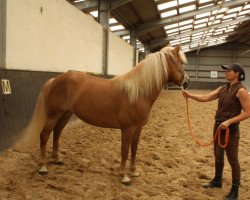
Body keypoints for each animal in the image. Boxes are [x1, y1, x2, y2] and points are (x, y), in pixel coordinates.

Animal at [26, 44, 189, 184]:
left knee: (57, 132)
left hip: (65, 114)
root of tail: (54, 80)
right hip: (53, 115)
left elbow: (134, 149)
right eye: (180, 62)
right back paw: (43, 167)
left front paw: (134, 171)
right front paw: (124, 176)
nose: (187, 82)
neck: (138, 93)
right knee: (44, 135)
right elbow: (124, 151)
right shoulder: (127, 128)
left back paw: (57, 159)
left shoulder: (138, 128)